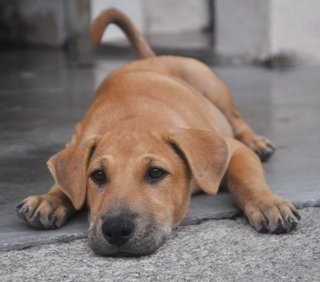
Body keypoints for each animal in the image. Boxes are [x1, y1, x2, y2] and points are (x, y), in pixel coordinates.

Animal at [15, 8, 300, 256]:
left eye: (155, 173)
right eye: (97, 176)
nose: (116, 230)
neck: (132, 118)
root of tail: (150, 59)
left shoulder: (234, 150)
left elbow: (246, 180)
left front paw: (267, 203)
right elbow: (67, 182)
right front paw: (49, 199)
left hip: (206, 79)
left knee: (237, 119)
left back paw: (258, 142)